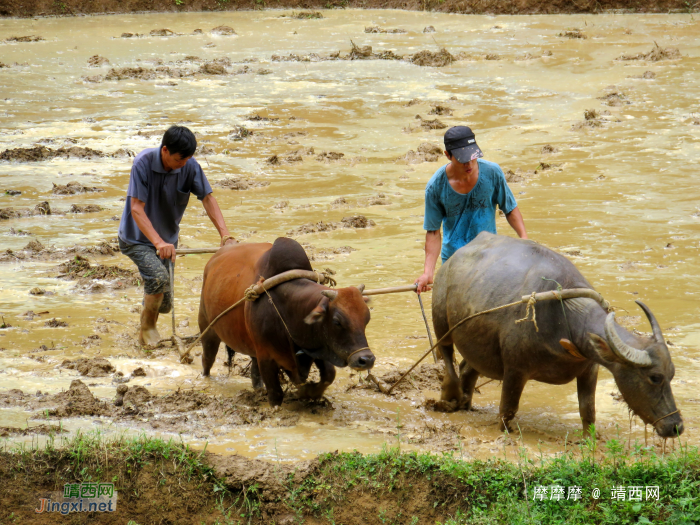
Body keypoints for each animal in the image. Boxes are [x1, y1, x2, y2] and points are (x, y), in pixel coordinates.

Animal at [197, 237, 374, 406]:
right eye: (337, 322)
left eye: (367, 319)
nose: (366, 360)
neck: (288, 309)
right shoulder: (266, 356)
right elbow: (276, 394)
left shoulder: (317, 347)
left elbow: (328, 375)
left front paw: (308, 393)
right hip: (208, 330)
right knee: (207, 359)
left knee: (254, 372)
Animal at [432, 233, 684, 438]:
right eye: (655, 377)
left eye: (671, 374)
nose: (676, 427)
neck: (566, 319)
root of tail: (451, 260)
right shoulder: (515, 370)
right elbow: (507, 410)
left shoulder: (589, 369)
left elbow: (588, 410)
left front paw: (590, 439)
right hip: (441, 323)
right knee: (447, 357)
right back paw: (450, 396)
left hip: (479, 345)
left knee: (468, 368)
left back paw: (466, 404)